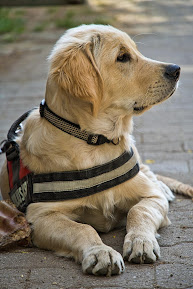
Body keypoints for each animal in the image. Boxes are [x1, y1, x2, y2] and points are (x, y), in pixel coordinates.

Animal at [0, 24, 193, 274]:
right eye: (122, 57)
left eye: (135, 51)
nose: (176, 70)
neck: (95, 141)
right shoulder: (40, 216)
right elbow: (82, 228)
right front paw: (101, 252)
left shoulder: (150, 197)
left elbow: (138, 211)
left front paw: (141, 241)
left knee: (148, 172)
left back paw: (164, 187)